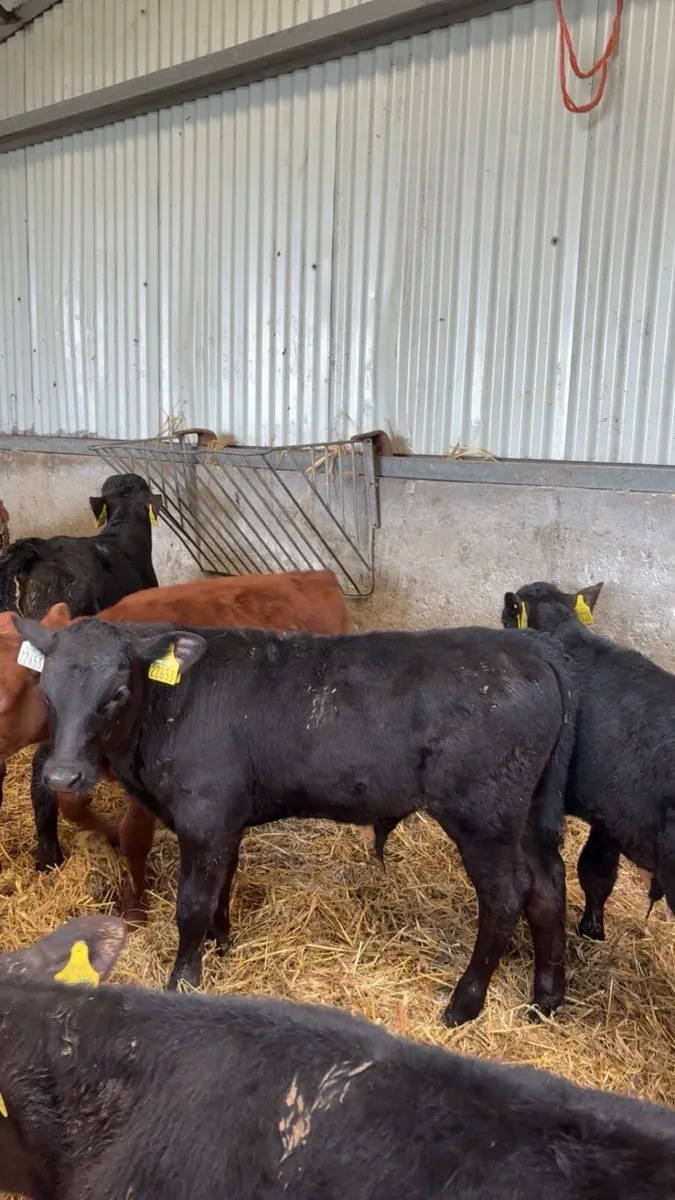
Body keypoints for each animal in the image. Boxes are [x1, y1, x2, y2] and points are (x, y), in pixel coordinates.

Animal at [0, 569, 352, 917]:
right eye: (46, 691)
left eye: (4, 699)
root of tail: (319, 575)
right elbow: (71, 804)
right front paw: (107, 834)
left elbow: (134, 835)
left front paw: (134, 909)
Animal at [21, 616, 576, 1026]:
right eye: (46, 692)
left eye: (116, 693)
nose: (63, 775)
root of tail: (528, 648)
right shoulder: (226, 819)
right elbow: (223, 883)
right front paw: (222, 943)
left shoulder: (203, 815)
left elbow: (193, 904)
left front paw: (184, 979)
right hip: (525, 815)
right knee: (547, 889)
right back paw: (545, 1001)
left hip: (483, 818)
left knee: (506, 897)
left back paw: (464, 1005)